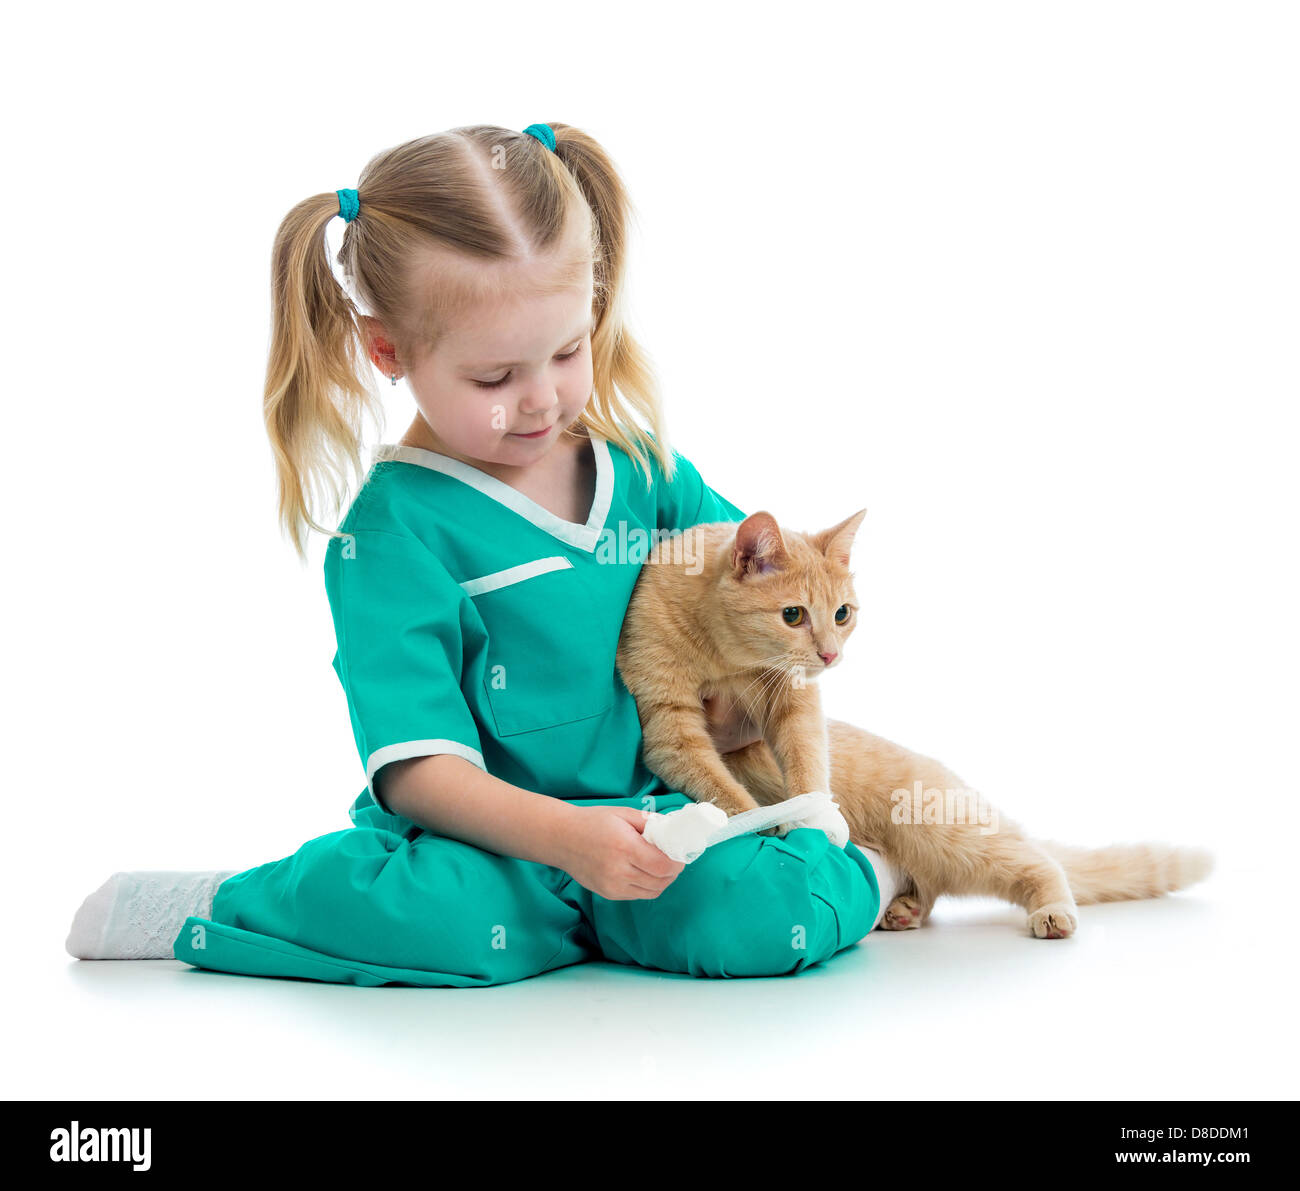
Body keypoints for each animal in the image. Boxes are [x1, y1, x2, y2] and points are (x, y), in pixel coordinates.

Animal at [613, 512, 1211, 941]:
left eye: (842, 614)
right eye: (793, 615)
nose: (830, 656)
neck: (723, 654)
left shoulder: (795, 703)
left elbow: (807, 762)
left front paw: (812, 816)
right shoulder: (670, 728)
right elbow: (727, 792)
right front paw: (760, 823)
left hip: (946, 831)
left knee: (1036, 863)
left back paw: (1050, 912)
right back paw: (901, 909)